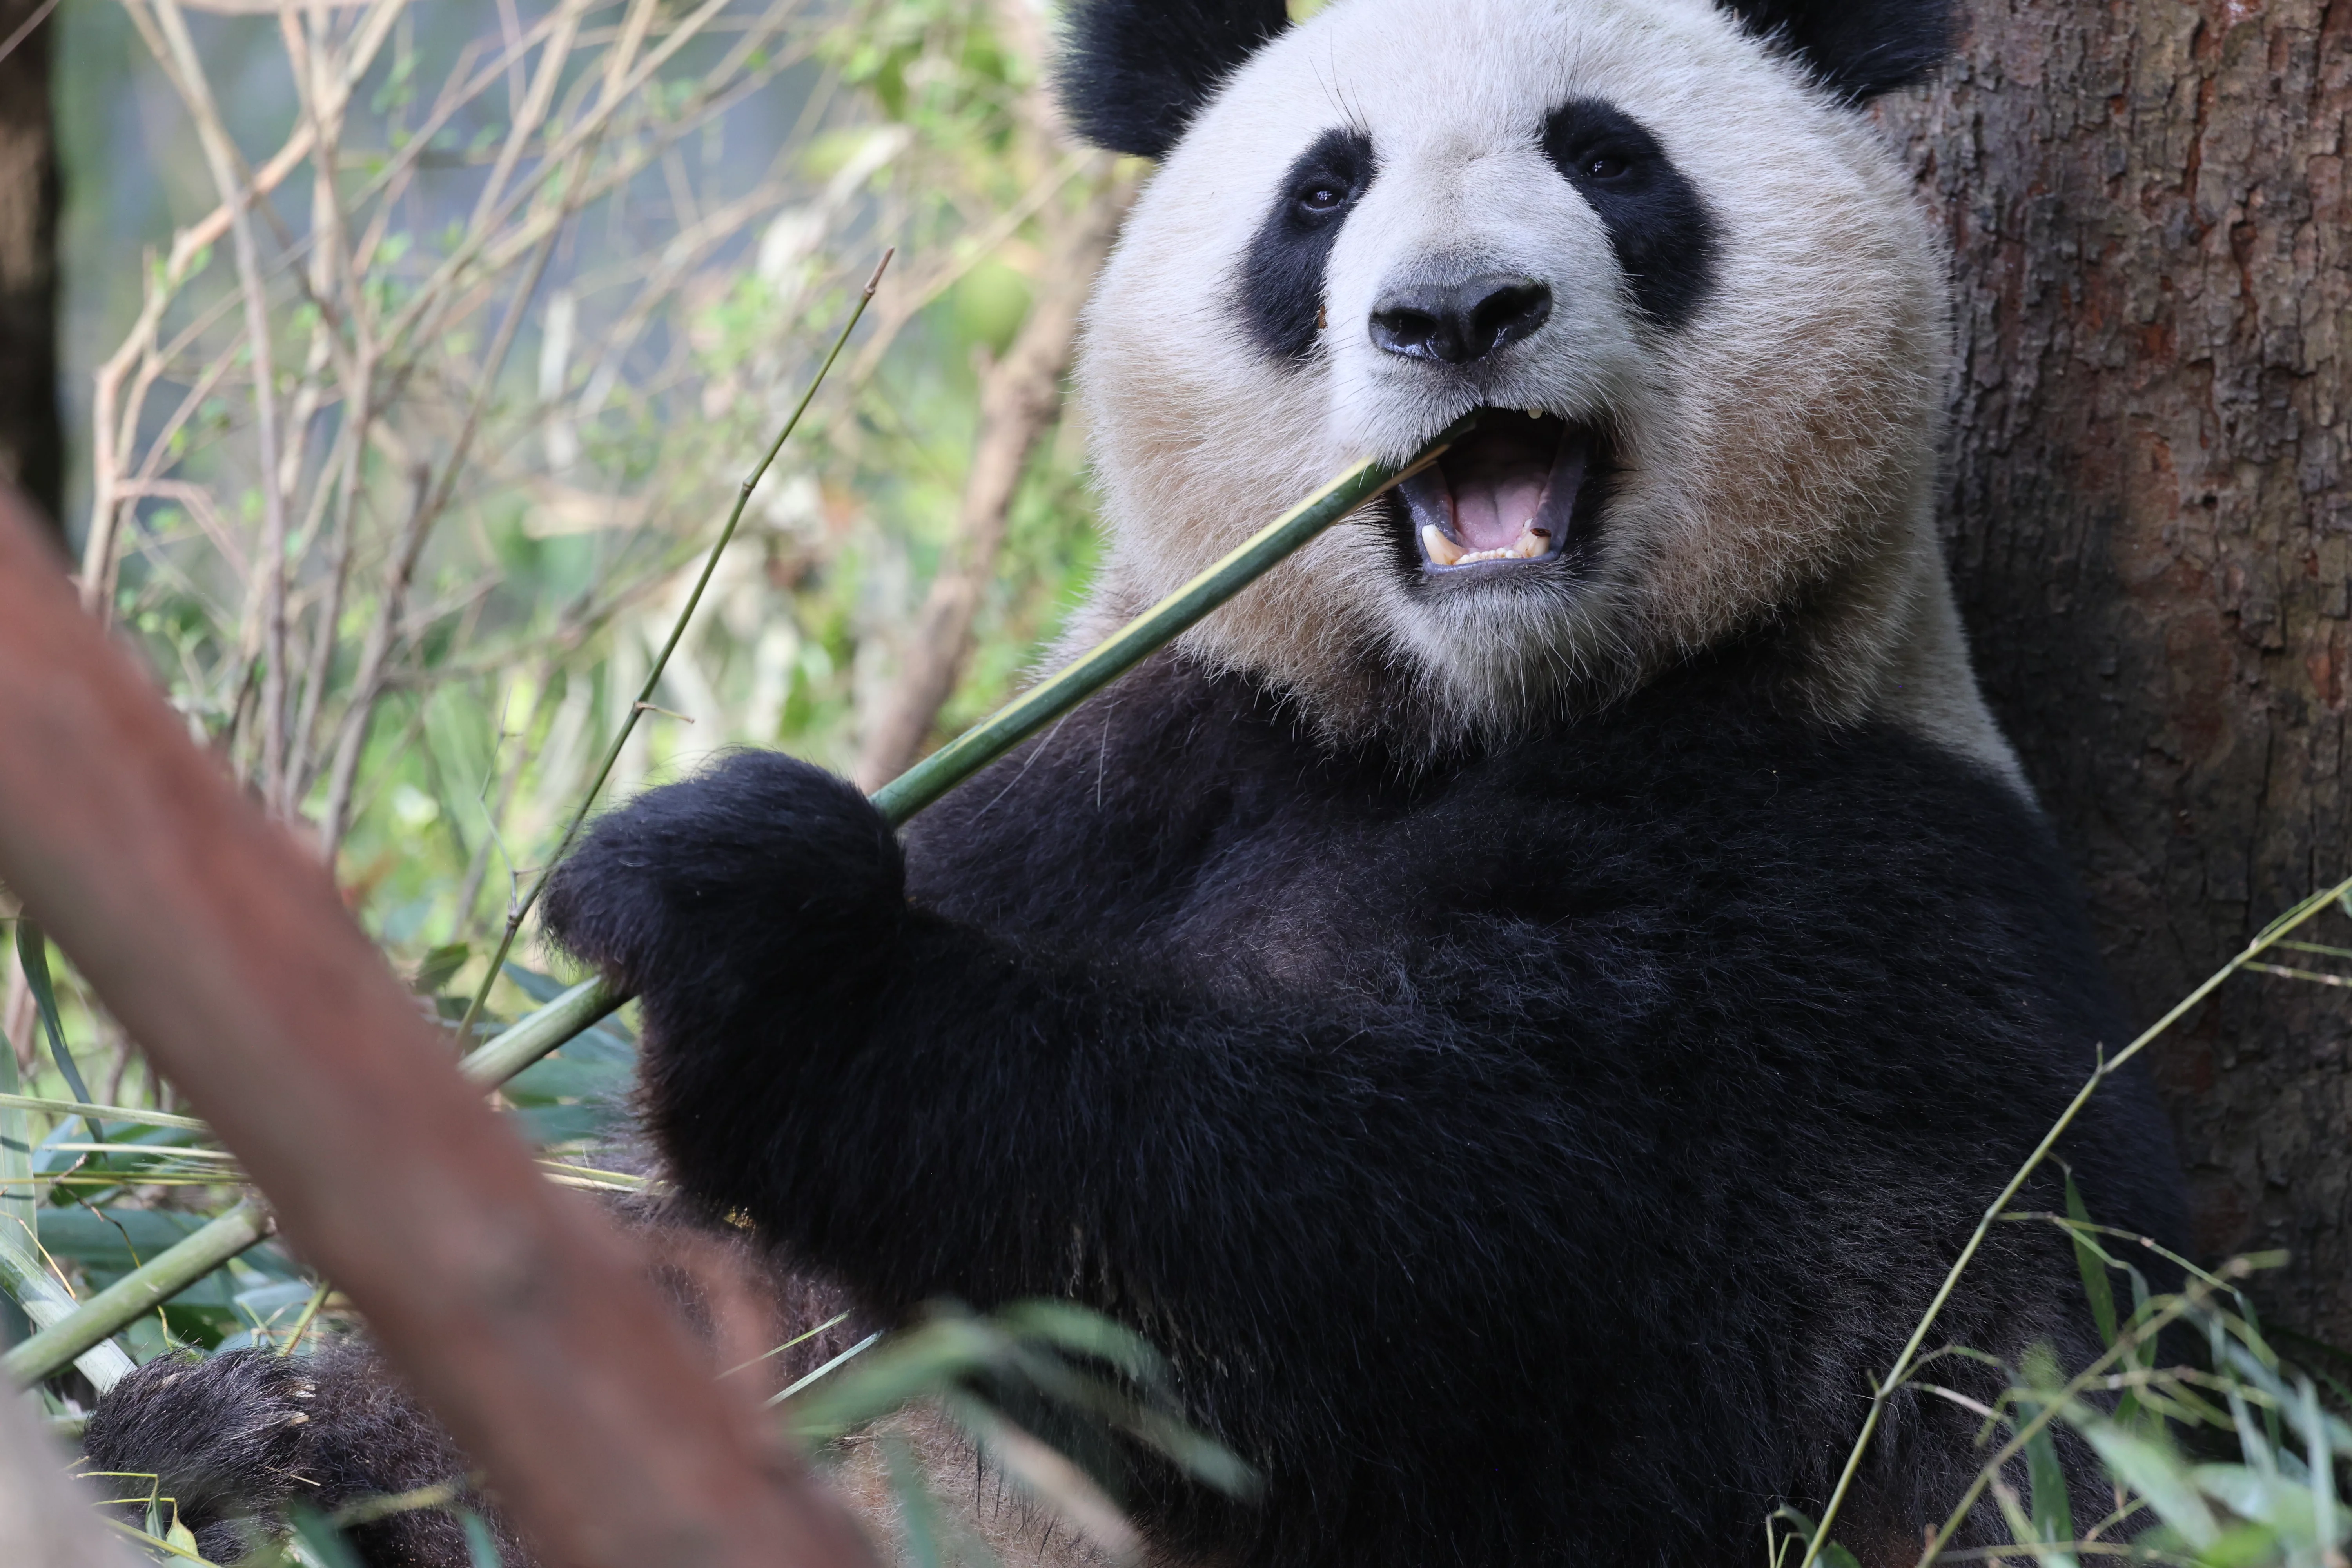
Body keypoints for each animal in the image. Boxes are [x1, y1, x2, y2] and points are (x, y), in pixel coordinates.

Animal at [85, 0, 2193, 1563]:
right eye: (1320, 194)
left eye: (1611, 158)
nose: (1454, 315)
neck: (1465, 712)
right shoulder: (1135, 759)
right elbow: (695, 1280)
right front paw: (223, 1400)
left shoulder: (1828, 888)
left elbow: (1350, 1291)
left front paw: (747, 919)